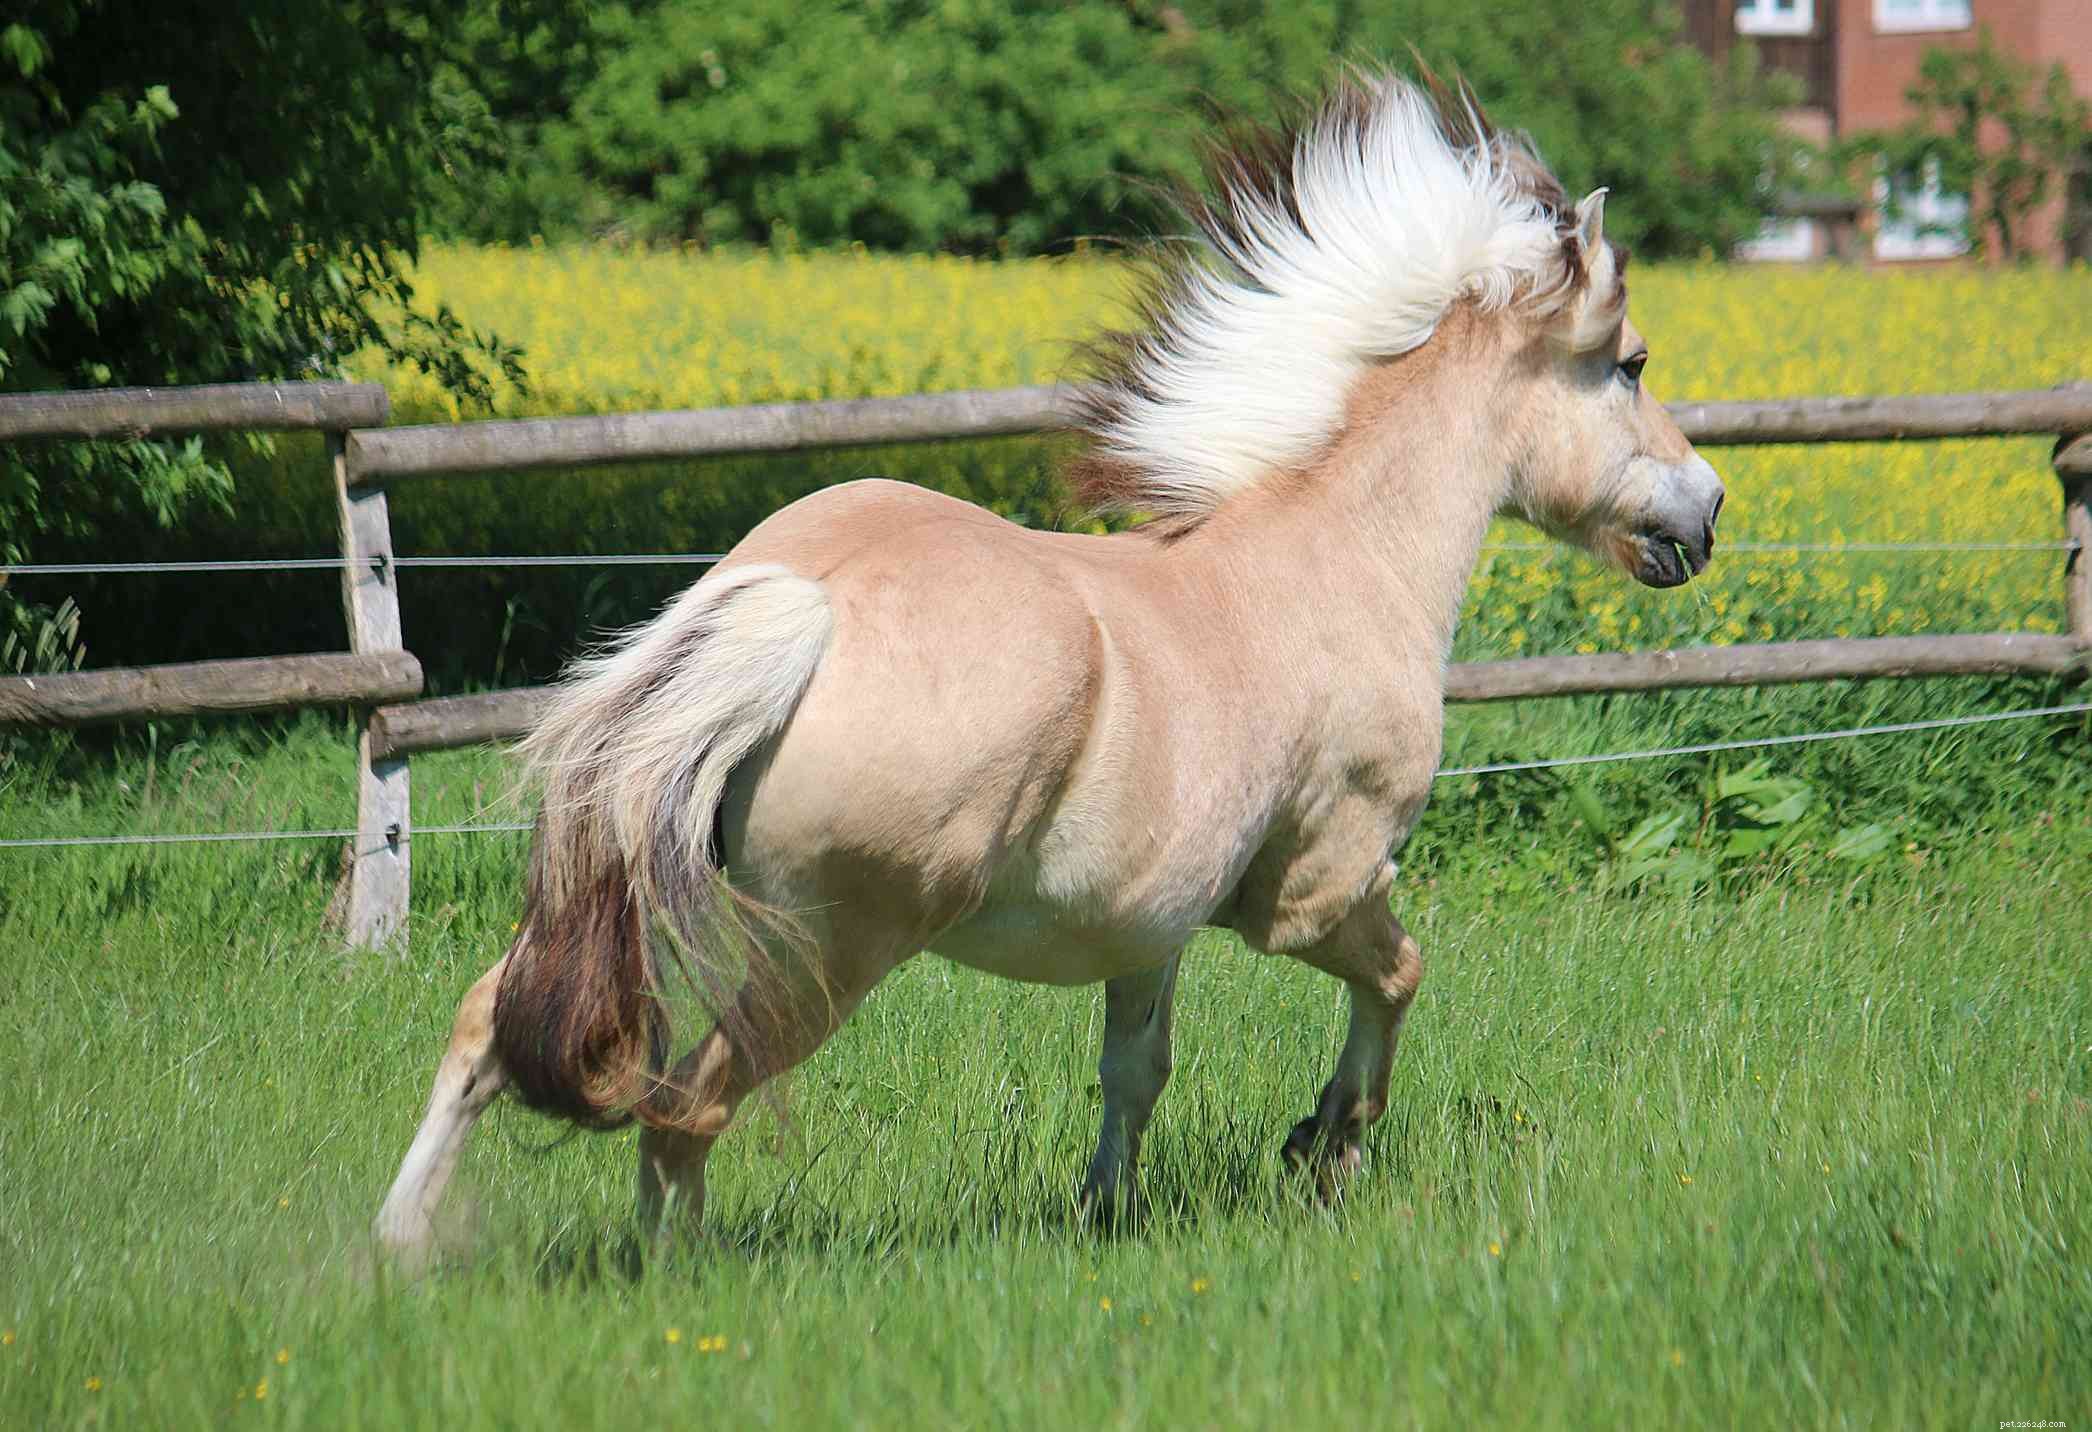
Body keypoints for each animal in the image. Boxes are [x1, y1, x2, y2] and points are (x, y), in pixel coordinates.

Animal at [374, 70, 1724, 1261]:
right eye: (1632, 363)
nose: (1705, 510)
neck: (1336, 559)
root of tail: (803, 609)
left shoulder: (1150, 930)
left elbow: (1135, 1070)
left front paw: (1106, 1211)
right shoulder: (1314, 892)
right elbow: (1398, 976)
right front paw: (1326, 1144)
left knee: (487, 1031)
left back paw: (395, 1254)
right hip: (828, 947)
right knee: (683, 1112)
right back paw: (670, 1278)